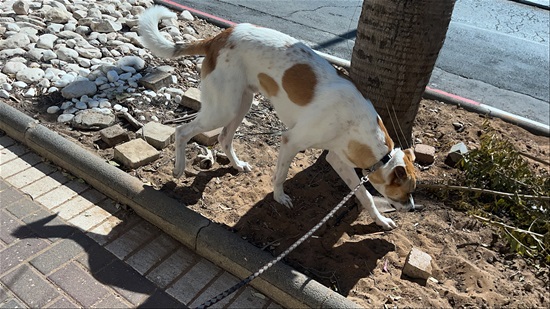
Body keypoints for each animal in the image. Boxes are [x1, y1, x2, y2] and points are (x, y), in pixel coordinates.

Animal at [139, 6, 418, 230]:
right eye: (405, 192)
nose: (414, 209)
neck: (358, 125)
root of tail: (218, 37)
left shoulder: (338, 158)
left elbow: (365, 196)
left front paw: (380, 220)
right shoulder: (291, 141)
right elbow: (281, 175)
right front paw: (279, 197)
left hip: (241, 103)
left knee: (224, 137)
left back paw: (237, 165)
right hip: (223, 109)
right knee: (183, 131)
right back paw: (179, 168)